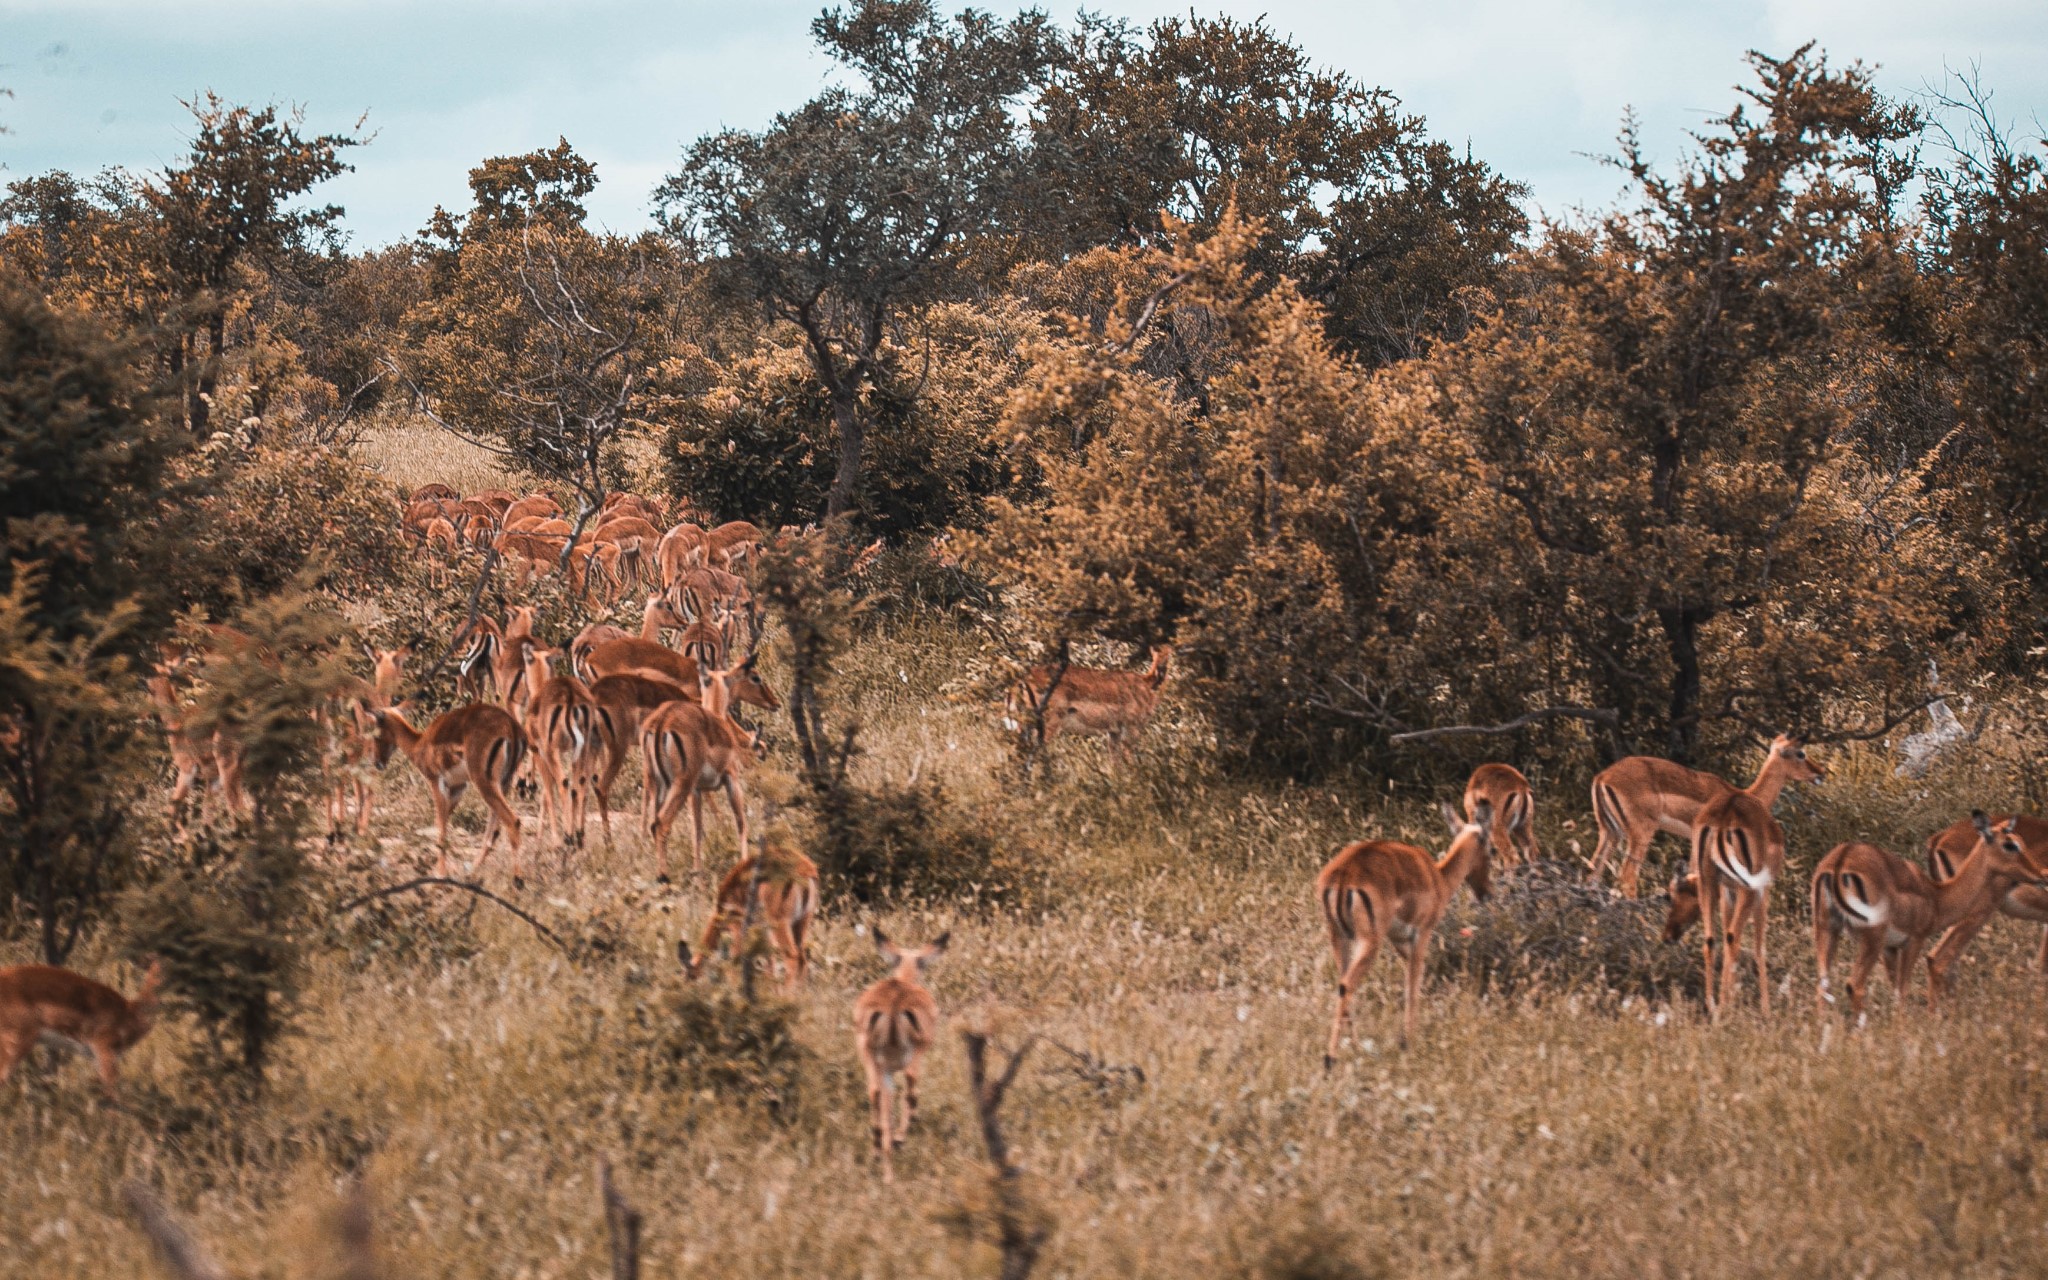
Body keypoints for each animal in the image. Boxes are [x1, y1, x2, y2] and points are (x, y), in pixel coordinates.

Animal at [851, 921, 946, 1179]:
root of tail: (894, 1002)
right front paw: (897, 1139)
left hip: (869, 1055)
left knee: (874, 1092)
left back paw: (879, 1152)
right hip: (913, 1054)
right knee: (911, 1087)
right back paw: (897, 1141)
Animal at [1318, 798, 1499, 1056]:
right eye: (1493, 849)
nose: (1487, 893)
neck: (1438, 878)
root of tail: (1344, 875)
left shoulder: (1399, 941)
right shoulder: (1421, 934)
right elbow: (1413, 986)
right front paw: (1410, 1041)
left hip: (1339, 937)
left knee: (1342, 983)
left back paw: (1354, 1046)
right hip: (1369, 941)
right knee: (1348, 985)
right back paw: (1331, 1057)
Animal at [1581, 733, 1826, 892]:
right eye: (1801, 753)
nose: (1821, 773)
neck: (1745, 795)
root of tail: (1603, 777)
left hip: (1610, 833)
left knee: (1593, 873)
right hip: (1640, 834)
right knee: (1627, 878)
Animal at [1818, 819, 2039, 1019]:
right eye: (2010, 844)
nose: (2040, 874)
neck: (1937, 897)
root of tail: (1840, 861)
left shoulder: (1890, 948)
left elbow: (1895, 989)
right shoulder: (1914, 940)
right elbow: (1902, 991)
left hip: (1827, 929)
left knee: (1823, 986)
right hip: (1872, 939)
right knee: (1855, 985)